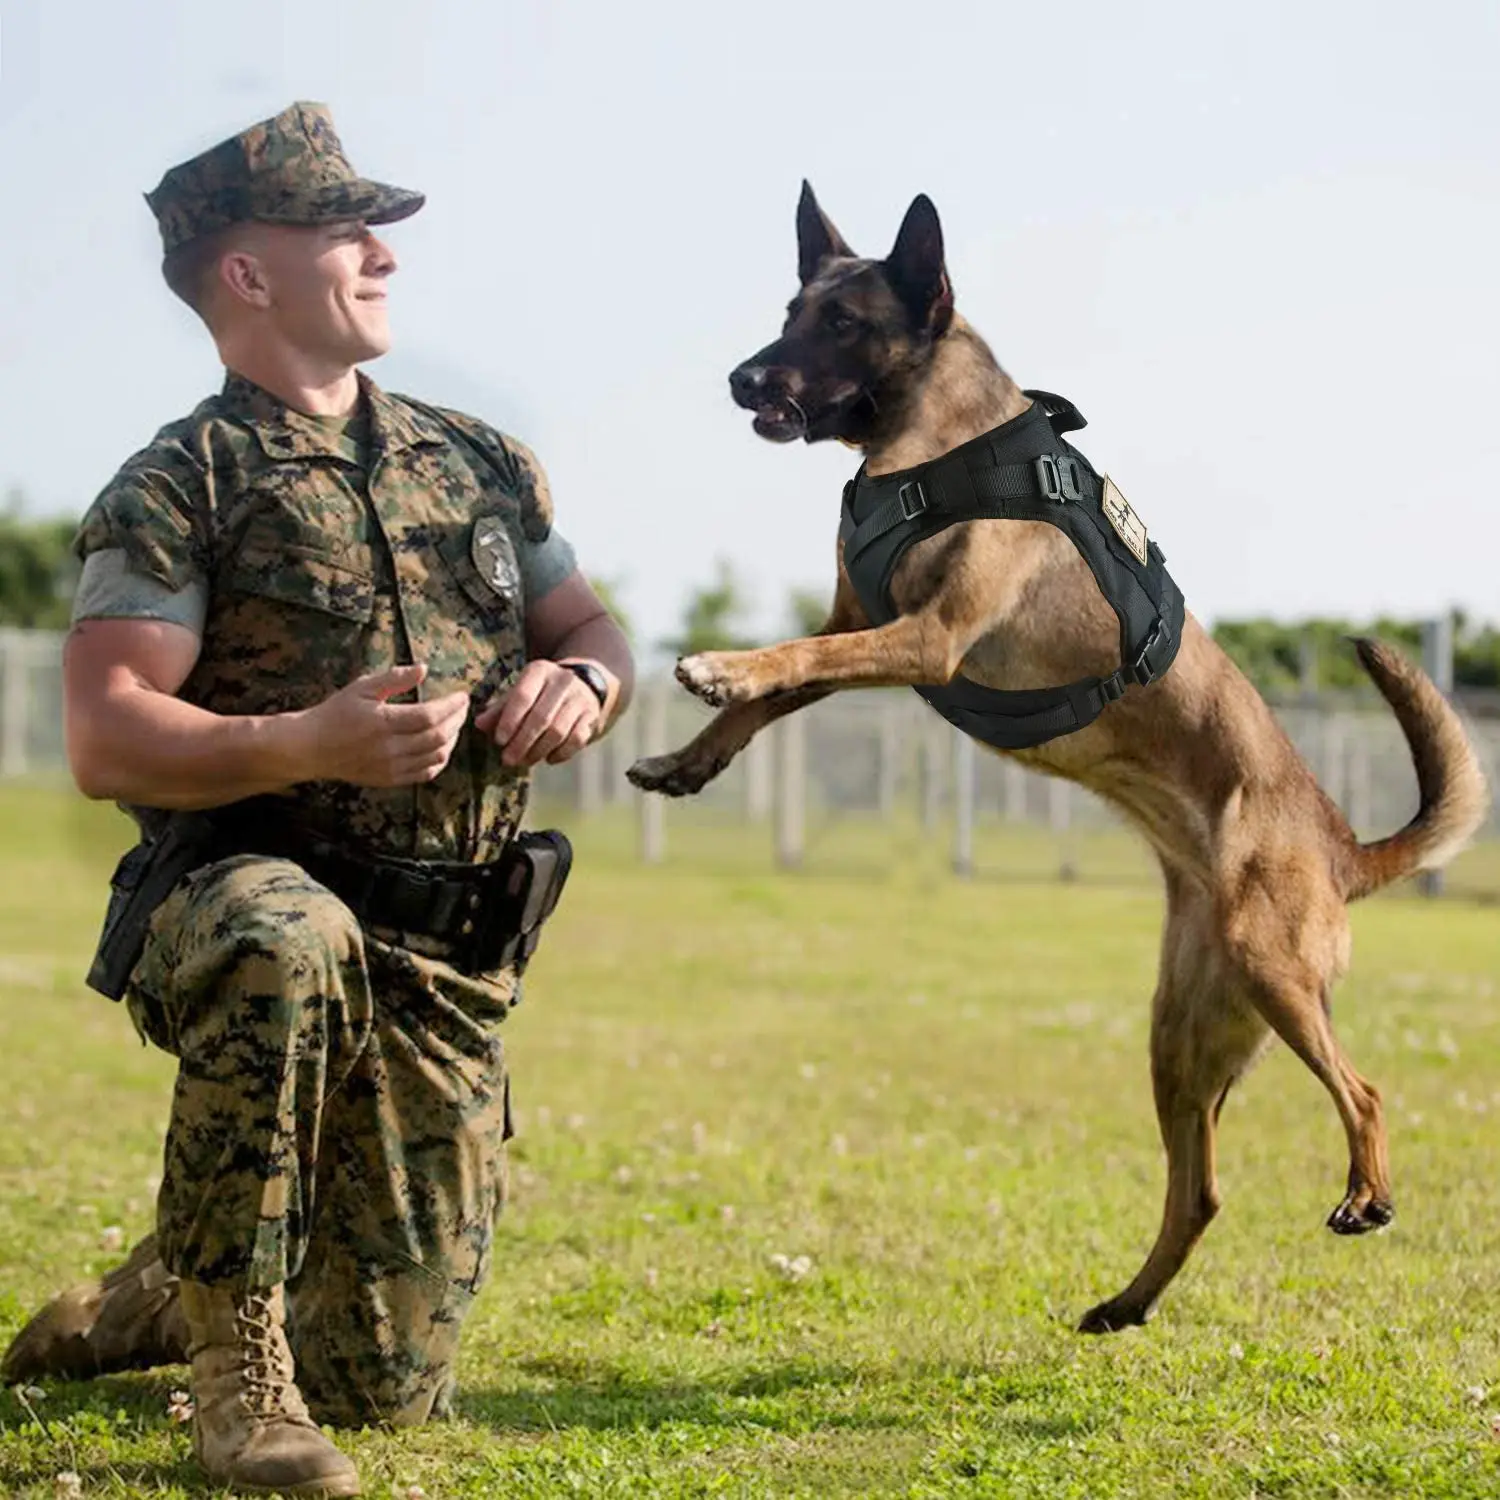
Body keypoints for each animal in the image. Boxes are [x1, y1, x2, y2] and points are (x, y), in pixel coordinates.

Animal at [624, 187, 1488, 1338]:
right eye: (790, 312)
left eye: (843, 322)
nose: (742, 381)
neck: (929, 443)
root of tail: (1345, 847)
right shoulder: (867, 626)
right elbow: (774, 696)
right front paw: (686, 758)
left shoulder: (925, 639)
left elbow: (786, 659)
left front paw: (717, 666)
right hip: (1184, 1031)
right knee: (1200, 1190)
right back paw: (1127, 1301)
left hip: (1274, 973)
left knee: (1367, 1092)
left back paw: (1366, 1193)